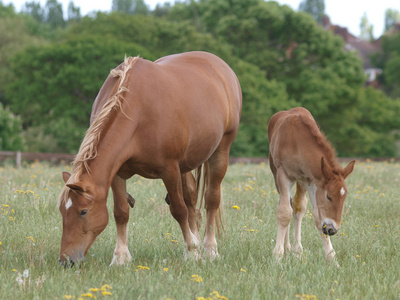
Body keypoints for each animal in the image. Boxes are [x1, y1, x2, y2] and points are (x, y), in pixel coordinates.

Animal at [57, 51, 242, 264]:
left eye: (83, 211)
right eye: (62, 211)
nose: (66, 260)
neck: (138, 110)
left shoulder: (169, 169)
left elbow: (178, 209)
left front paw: (192, 250)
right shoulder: (117, 172)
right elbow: (121, 212)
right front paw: (120, 257)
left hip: (221, 149)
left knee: (211, 199)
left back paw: (209, 249)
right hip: (185, 166)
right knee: (191, 199)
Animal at [268, 108, 354, 262]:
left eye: (344, 197)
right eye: (328, 196)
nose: (332, 229)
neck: (297, 141)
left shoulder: (312, 181)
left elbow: (318, 217)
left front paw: (331, 258)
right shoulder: (283, 174)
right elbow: (284, 213)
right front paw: (277, 255)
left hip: (302, 182)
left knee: (298, 206)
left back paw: (296, 251)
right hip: (276, 174)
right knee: (287, 204)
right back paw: (287, 249)